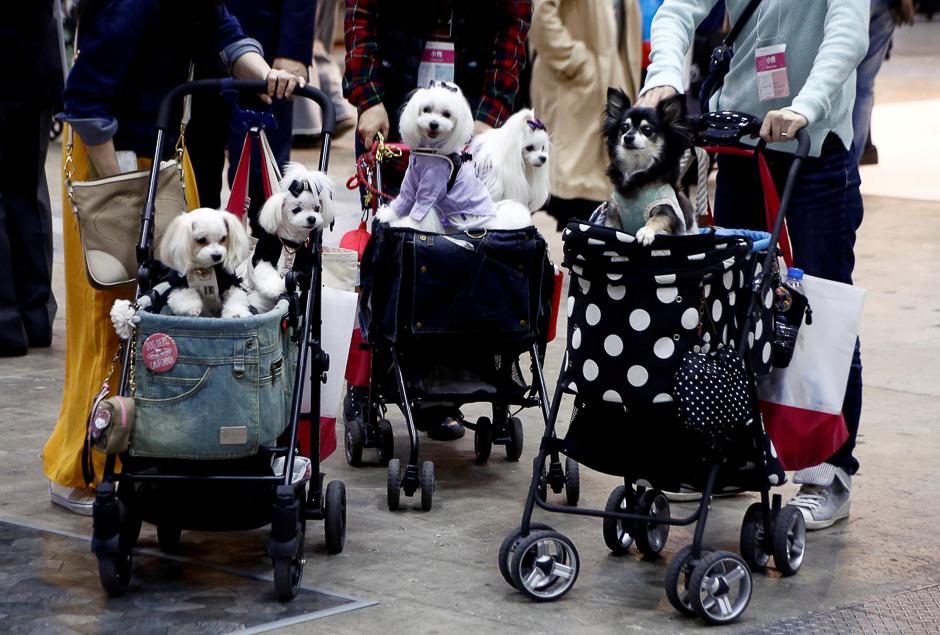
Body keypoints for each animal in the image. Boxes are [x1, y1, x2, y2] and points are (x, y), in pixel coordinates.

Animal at [244, 163, 336, 314]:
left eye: (317, 208)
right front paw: (282, 287)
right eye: (296, 209)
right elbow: (267, 275)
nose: (312, 218)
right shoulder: (265, 253)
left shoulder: (302, 258)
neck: (289, 241)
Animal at [376, 80, 536, 235]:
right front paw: (388, 215)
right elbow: (404, 199)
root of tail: (496, 223)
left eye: (447, 114)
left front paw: (406, 225)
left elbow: (420, 209)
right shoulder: (410, 180)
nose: (433, 124)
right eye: (426, 109)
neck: (430, 151)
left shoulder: (431, 187)